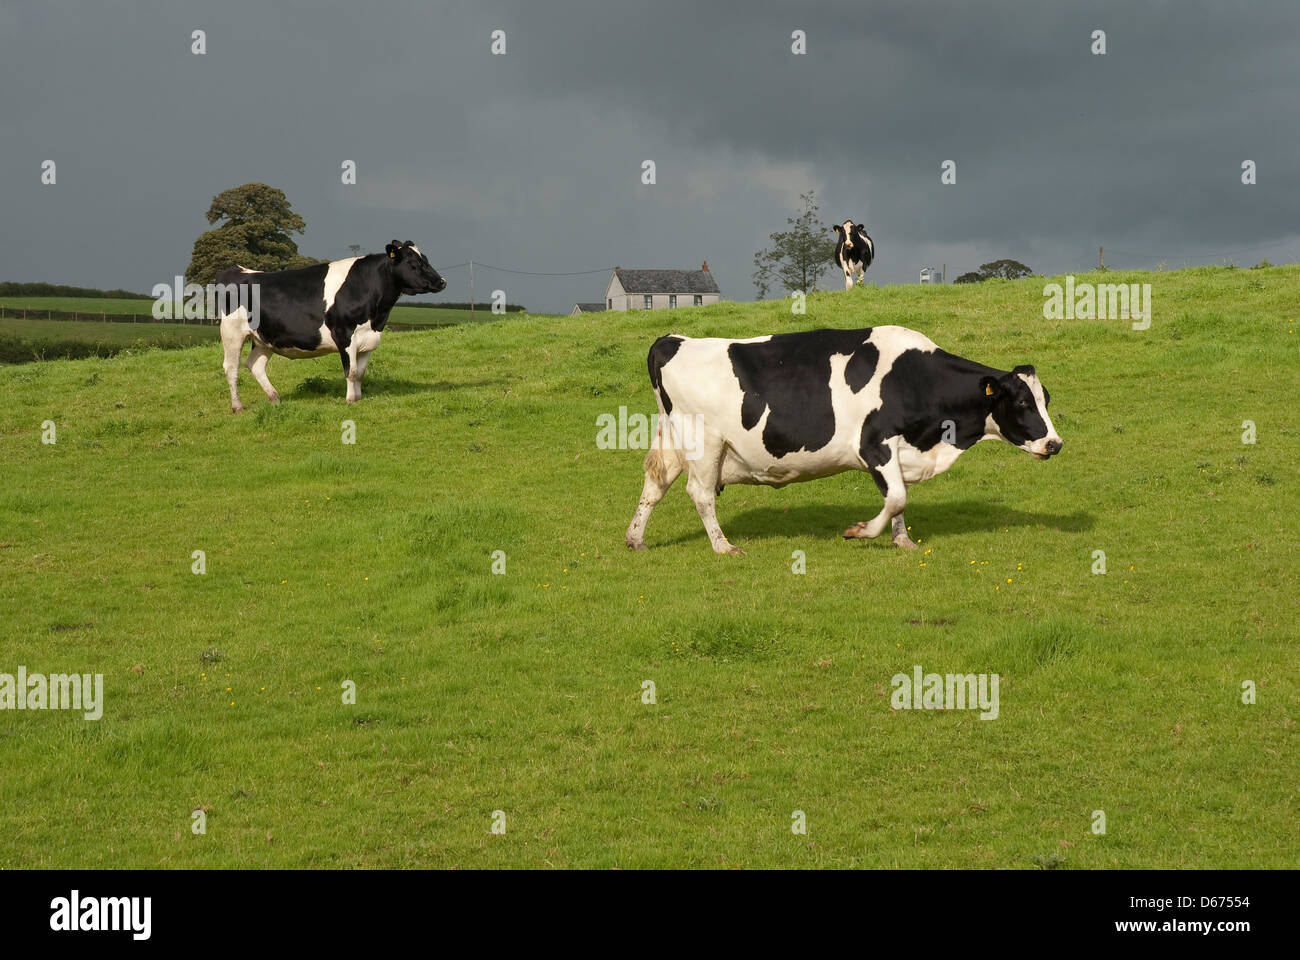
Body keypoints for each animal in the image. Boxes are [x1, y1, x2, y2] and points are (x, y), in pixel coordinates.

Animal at [218, 240, 446, 411]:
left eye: (425, 259)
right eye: (412, 262)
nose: (442, 281)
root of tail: (240, 270)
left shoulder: (369, 339)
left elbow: (360, 373)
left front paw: (358, 398)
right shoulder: (343, 334)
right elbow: (351, 371)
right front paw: (350, 400)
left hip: (264, 338)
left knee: (255, 365)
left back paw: (274, 397)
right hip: (232, 333)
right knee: (231, 368)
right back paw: (237, 406)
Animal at [625, 325, 1062, 555]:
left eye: (1046, 398)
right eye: (1023, 402)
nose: (1055, 445)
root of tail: (673, 339)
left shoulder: (898, 452)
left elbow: (899, 498)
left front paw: (903, 541)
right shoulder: (875, 443)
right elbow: (897, 497)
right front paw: (860, 532)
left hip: (673, 438)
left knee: (655, 482)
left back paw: (635, 539)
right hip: (704, 442)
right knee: (700, 494)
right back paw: (723, 546)